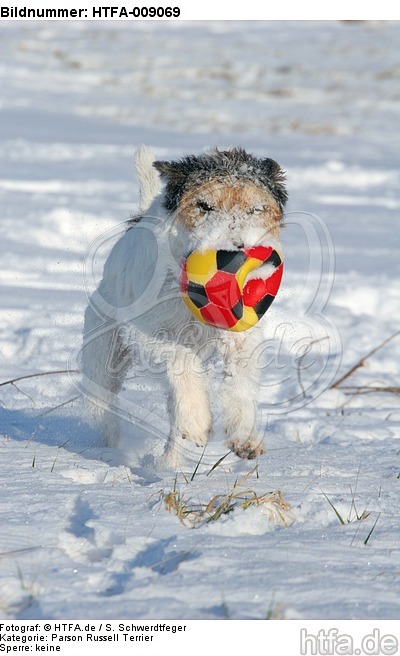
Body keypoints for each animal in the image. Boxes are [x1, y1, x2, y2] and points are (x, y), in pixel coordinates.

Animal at [82, 147, 288, 468]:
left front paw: (244, 435)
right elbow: (181, 360)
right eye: (203, 205)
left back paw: (170, 462)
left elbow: (240, 376)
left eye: (256, 209)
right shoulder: (149, 333)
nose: (233, 253)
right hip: (104, 350)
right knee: (104, 404)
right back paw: (114, 449)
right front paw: (196, 422)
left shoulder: (242, 332)